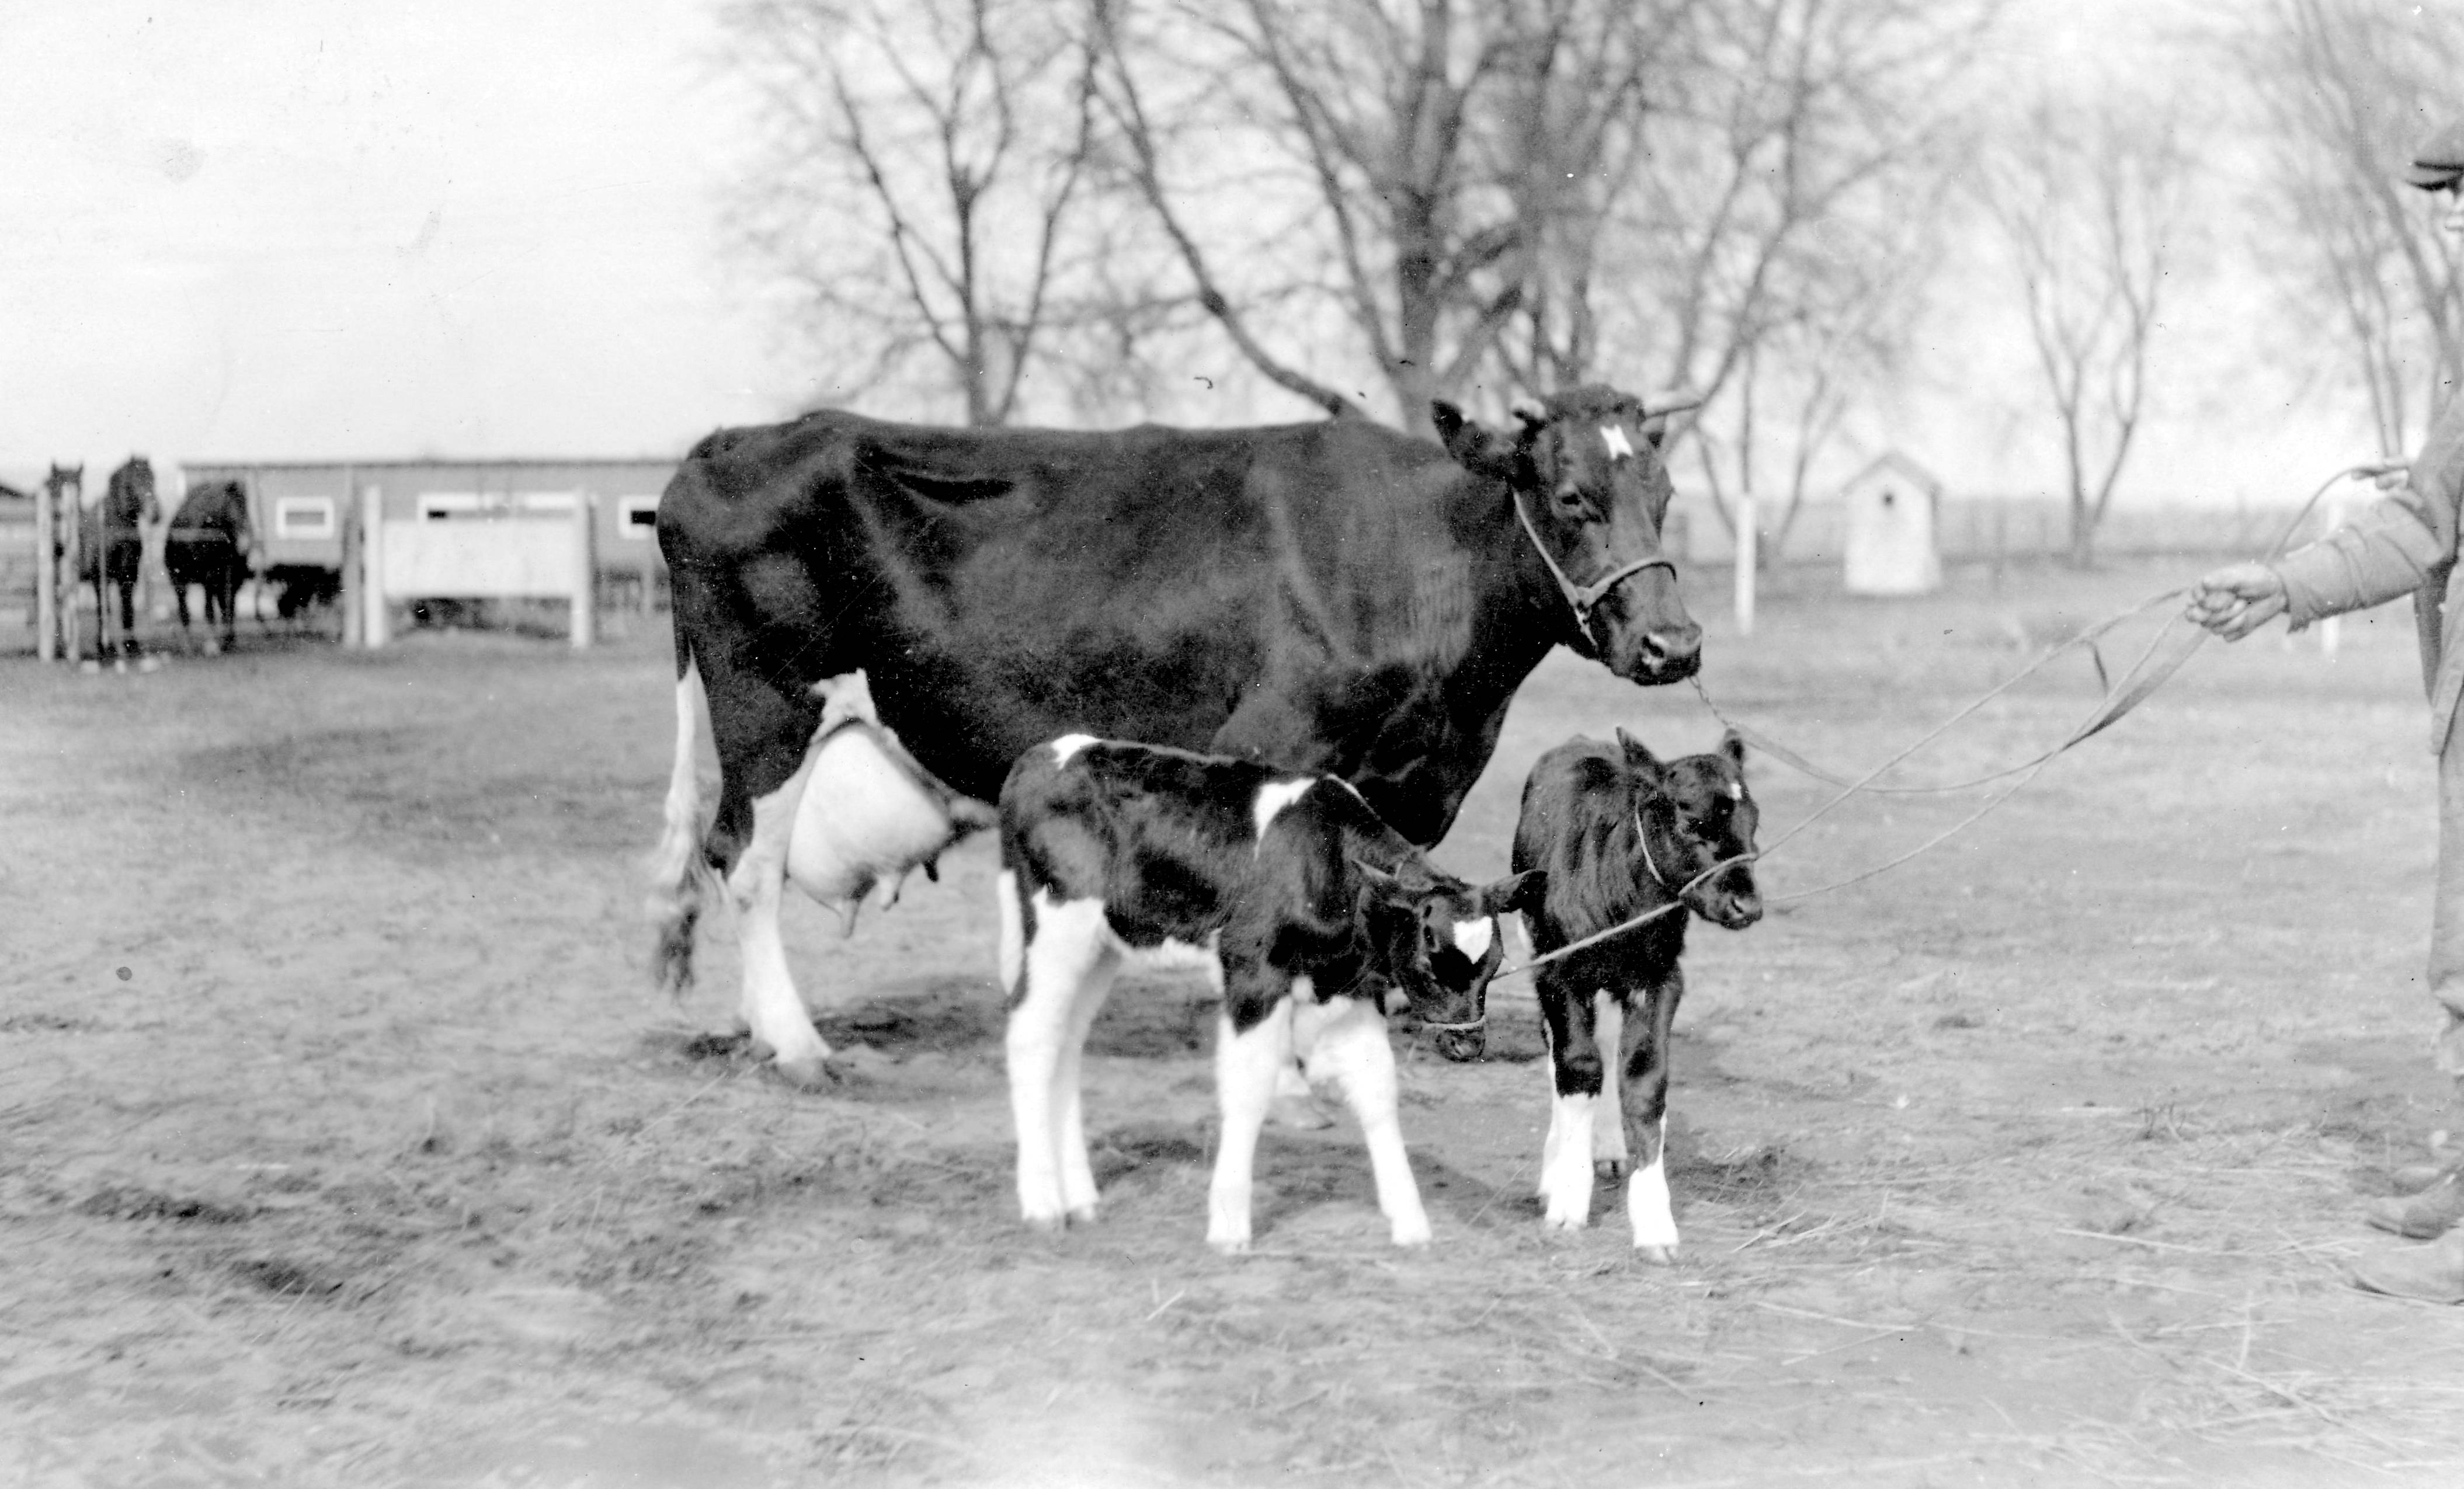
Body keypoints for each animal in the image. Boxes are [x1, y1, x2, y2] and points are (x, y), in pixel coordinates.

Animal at [650, 384, 1703, 1086]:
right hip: (769, 712)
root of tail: (724, 443)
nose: (1674, 643)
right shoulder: (1280, 748)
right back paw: (799, 1047)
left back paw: (754, 1028)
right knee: (744, 862)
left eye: (1663, 499)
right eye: (1570, 499)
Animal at [999, 734, 1536, 1252]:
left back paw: (1081, 1199)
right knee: (1031, 1038)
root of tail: (1042, 755)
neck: (1326, 862)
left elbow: (1377, 1089)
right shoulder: (1251, 973)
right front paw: (1229, 1225)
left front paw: (1411, 1223)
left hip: (1100, 947)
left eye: (1495, 965)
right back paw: (1043, 1204)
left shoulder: (1353, 990)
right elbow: (1249, 1087)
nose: (1467, 1044)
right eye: (1427, 966)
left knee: (1065, 1043)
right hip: (1055, 928)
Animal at [1510, 730, 1762, 1259]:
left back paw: (1606, 1148)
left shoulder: (1660, 979)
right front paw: (1566, 1199)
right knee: (1562, 1057)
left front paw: (1653, 1224)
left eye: (1754, 820)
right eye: (1690, 821)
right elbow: (1576, 1069)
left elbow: (1644, 1083)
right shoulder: (1558, 974)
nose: (1746, 904)